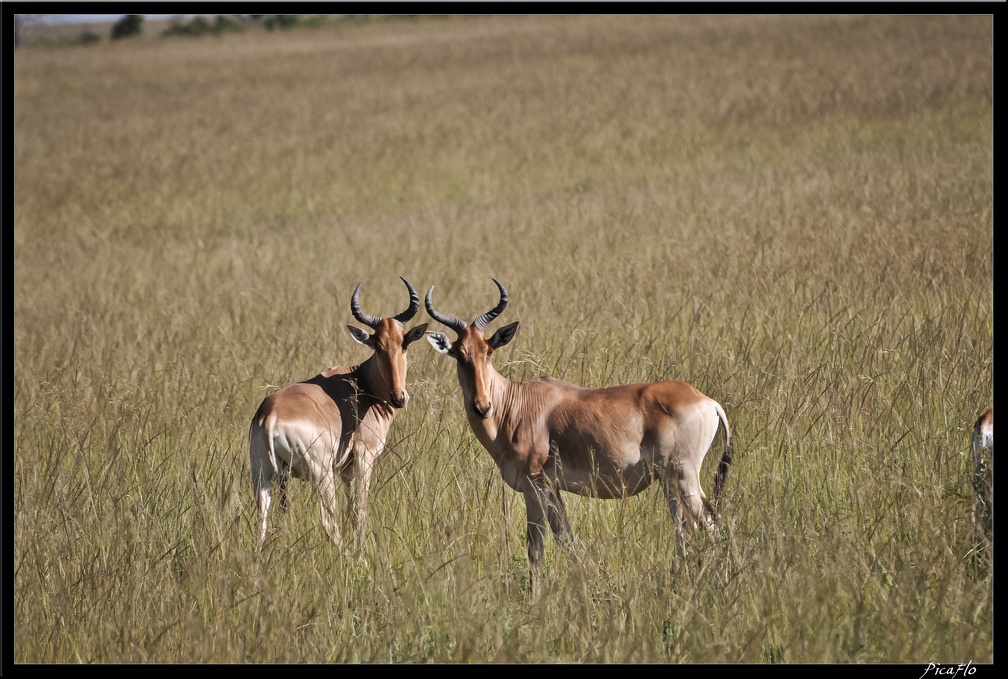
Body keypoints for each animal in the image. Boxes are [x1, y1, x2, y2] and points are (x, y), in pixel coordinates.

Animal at [252, 278, 429, 548]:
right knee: (328, 521)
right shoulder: (363, 457)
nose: (398, 398)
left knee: (260, 522)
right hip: (321, 474)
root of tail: (269, 415)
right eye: (377, 345)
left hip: (262, 476)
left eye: (404, 343)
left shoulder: (345, 469)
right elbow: (360, 508)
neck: (359, 382)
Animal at [425, 276, 733, 592]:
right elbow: (567, 540)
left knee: (710, 523)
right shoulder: (553, 489)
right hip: (669, 481)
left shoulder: (535, 487)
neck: (518, 402)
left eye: (488, 351)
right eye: (459, 354)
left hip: (684, 476)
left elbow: (536, 548)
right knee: (684, 530)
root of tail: (707, 401)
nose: (482, 407)